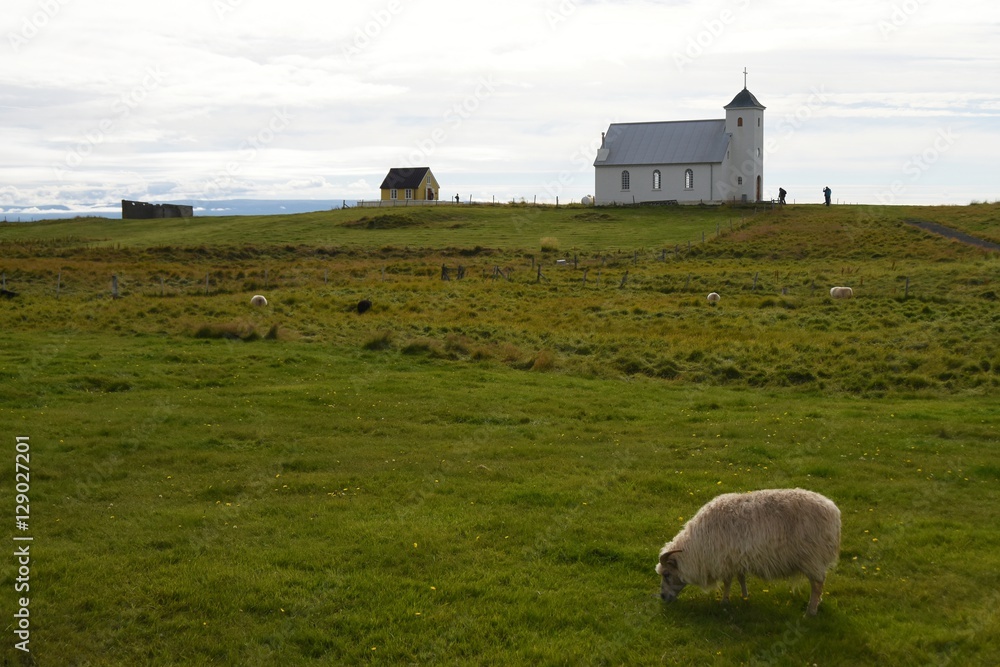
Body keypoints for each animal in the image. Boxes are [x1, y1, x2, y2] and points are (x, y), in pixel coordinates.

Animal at [656, 488, 841, 615]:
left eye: (666, 574)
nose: (662, 597)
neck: (696, 547)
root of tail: (833, 511)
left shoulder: (725, 560)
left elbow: (727, 582)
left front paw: (724, 602)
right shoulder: (737, 557)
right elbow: (741, 577)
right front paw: (744, 596)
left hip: (813, 558)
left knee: (817, 586)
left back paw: (810, 612)